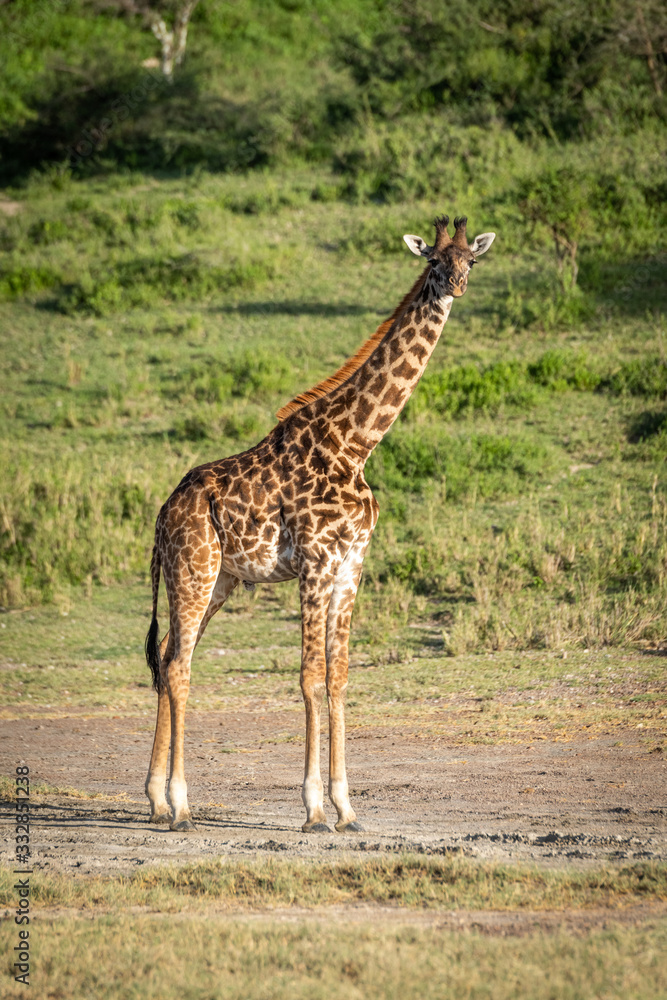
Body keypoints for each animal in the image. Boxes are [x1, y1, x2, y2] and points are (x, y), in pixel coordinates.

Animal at [144, 214, 495, 833]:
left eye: (470, 260)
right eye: (433, 261)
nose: (455, 286)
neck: (355, 445)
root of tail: (164, 513)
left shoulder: (351, 567)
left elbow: (338, 678)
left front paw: (347, 808)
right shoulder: (313, 564)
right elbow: (309, 677)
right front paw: (312, 811)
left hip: (218, 580)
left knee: (166, 657)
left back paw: (157, 802)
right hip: (194, 569)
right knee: (180, 666)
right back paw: (182, 807)